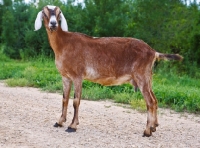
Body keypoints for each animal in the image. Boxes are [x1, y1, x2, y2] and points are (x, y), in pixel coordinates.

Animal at [34, 5, 183, 138]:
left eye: (58, 13)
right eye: (45, 12)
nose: (53, 24)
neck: (64, 44)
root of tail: (153, 52)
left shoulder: (77, 76)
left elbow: (76, 101)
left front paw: (72, 126)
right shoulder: (65, 76)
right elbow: (64, 99)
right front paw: (59, 122)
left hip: (141, 76)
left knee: (150, 102)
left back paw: (147, 131)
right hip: (148, 77)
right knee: (155, 100)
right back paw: (154, 126)